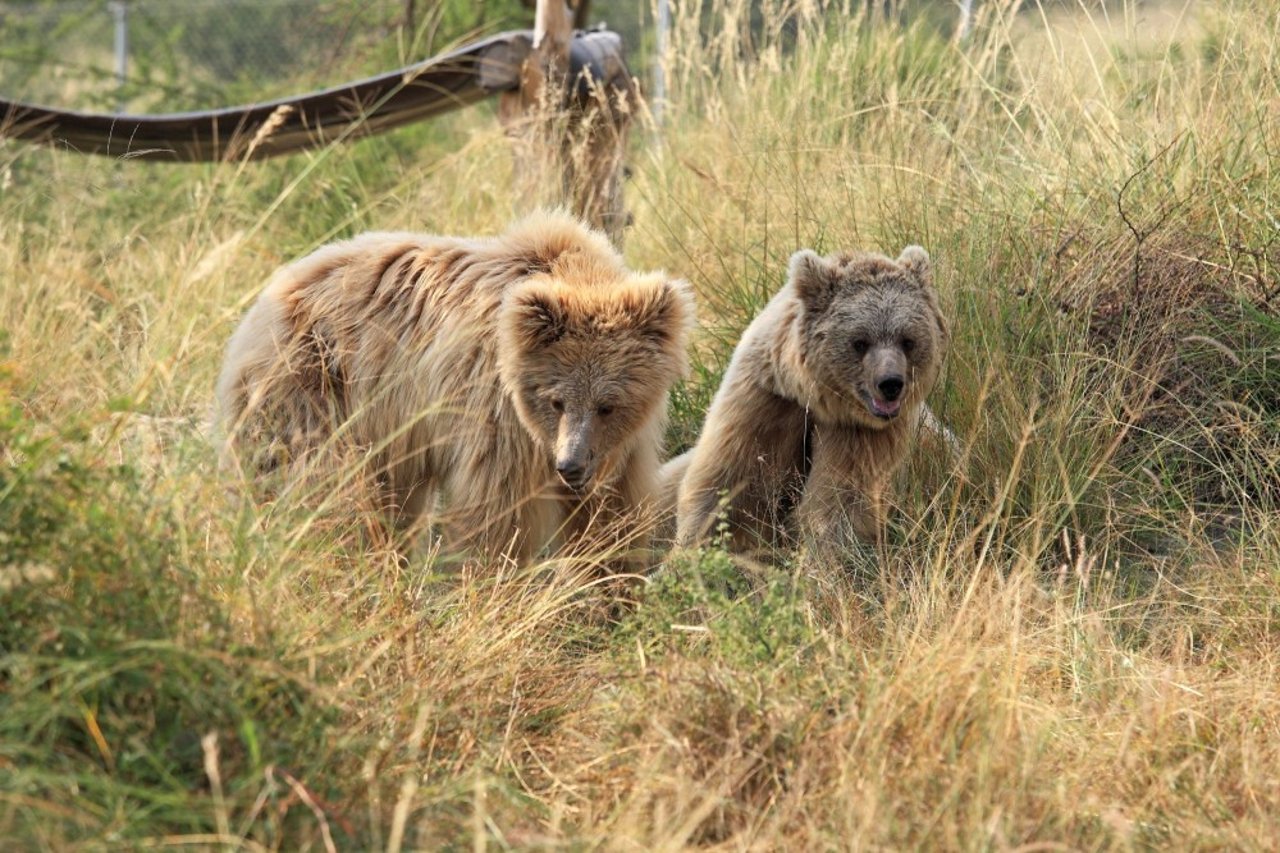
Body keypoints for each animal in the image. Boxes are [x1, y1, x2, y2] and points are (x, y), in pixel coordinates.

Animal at [215, 208, 696, 560]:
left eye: (609, 404)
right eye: (556, 400)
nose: (570, 466)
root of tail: (259, 306)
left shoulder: (623, 446)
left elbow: (612, 515)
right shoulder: (496, 415)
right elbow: (498, 514)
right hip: (313, 386)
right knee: (318, 487)